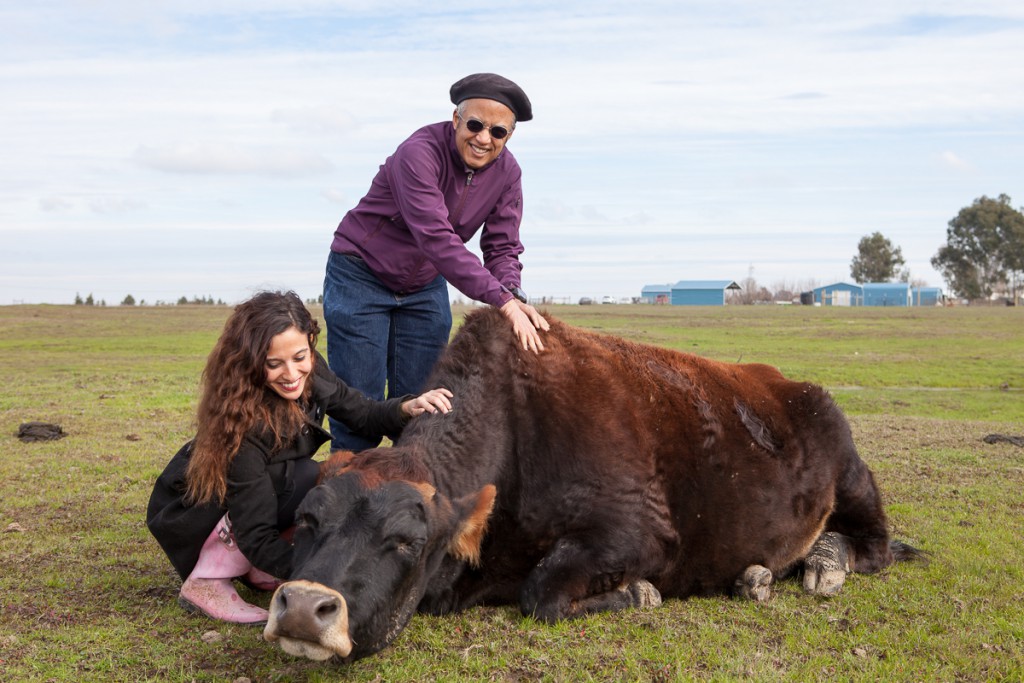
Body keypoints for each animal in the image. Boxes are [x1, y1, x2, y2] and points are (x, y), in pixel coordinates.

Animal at [262, 309, 921, 663]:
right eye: (308, 521)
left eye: (405, 540)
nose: (303, 609)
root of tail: (792, 386)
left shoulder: (637, 535)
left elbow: (541, 594)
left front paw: (640, 595)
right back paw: (754, 576)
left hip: (854, 478)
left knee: (875, 547)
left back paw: (824, 565)